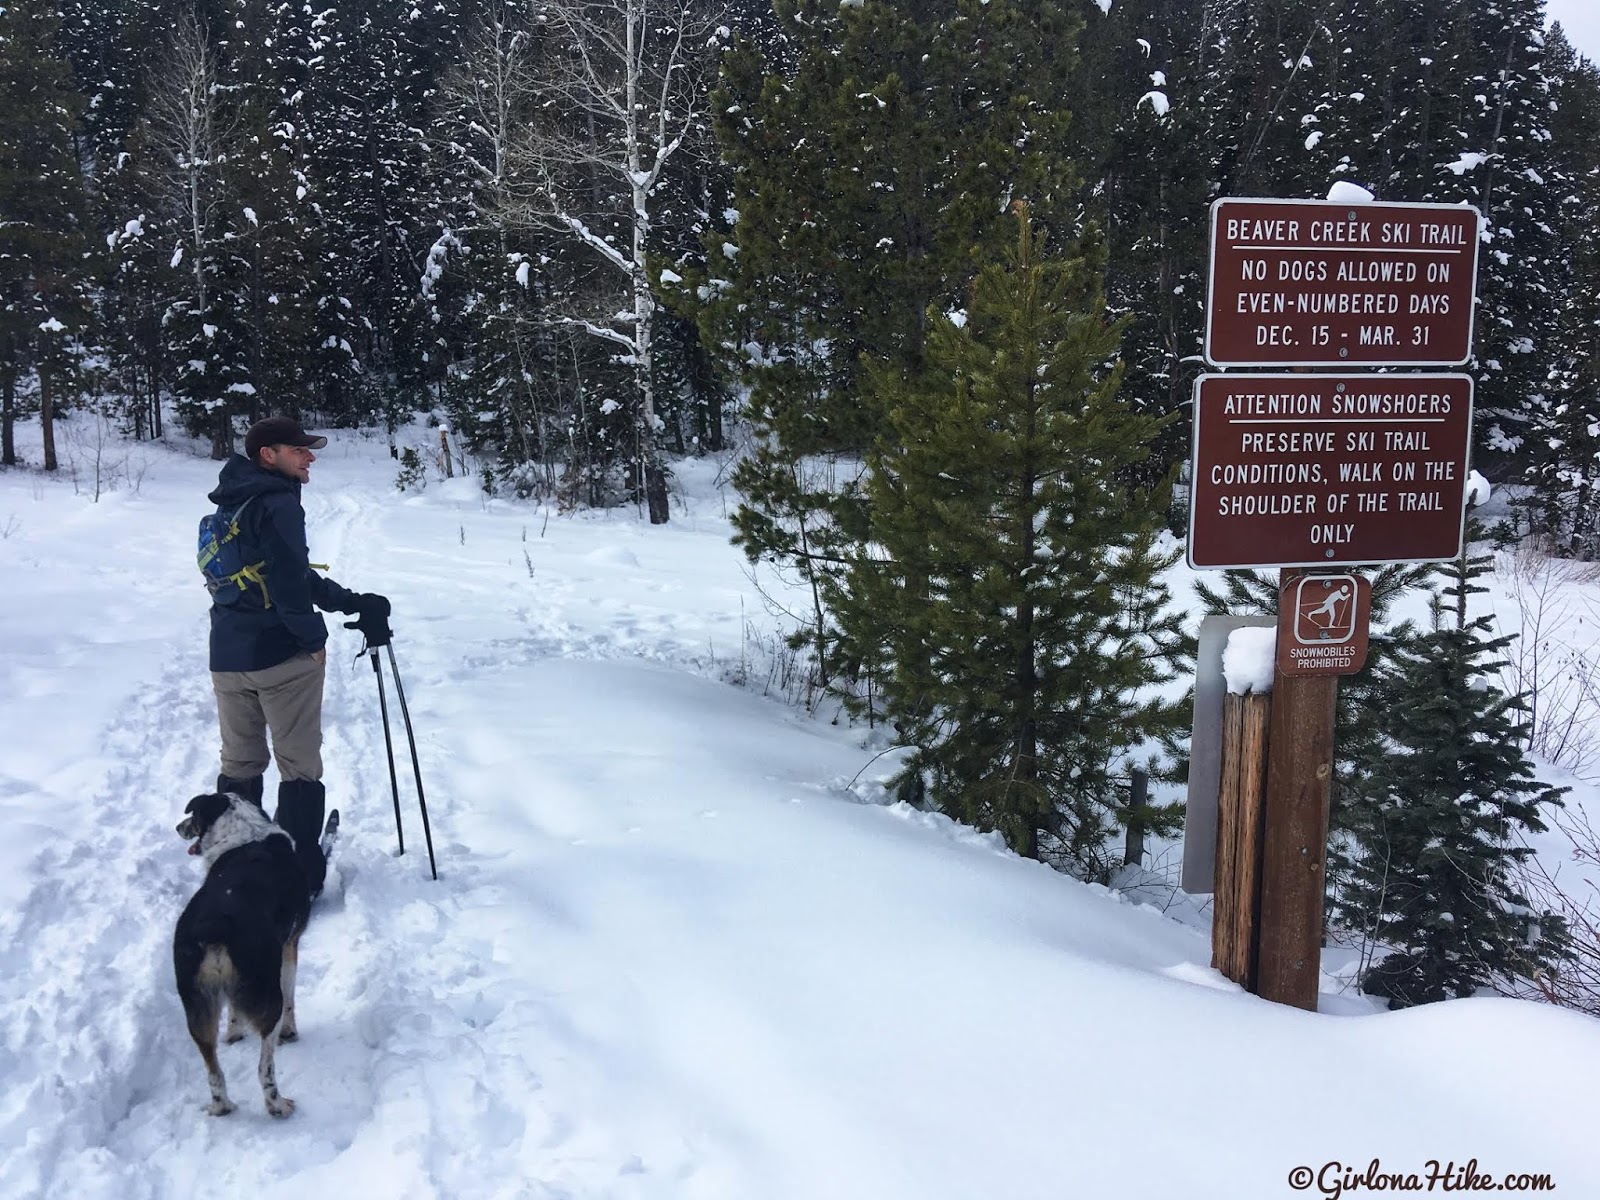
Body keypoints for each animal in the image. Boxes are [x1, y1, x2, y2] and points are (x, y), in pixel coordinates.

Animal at [176, 793, 312, 1126]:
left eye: (192, 816)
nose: (178, 827)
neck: (243, 834)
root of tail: (214, 926)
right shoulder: (290, 946)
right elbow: (291, 999)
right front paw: (290, 1033)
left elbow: (234, 1013)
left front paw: (234, 1034)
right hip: (267, 996)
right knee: (265, 1067)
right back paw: (278, 1105)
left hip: (196, 1007)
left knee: (214, 1071)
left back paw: (222, 1106)